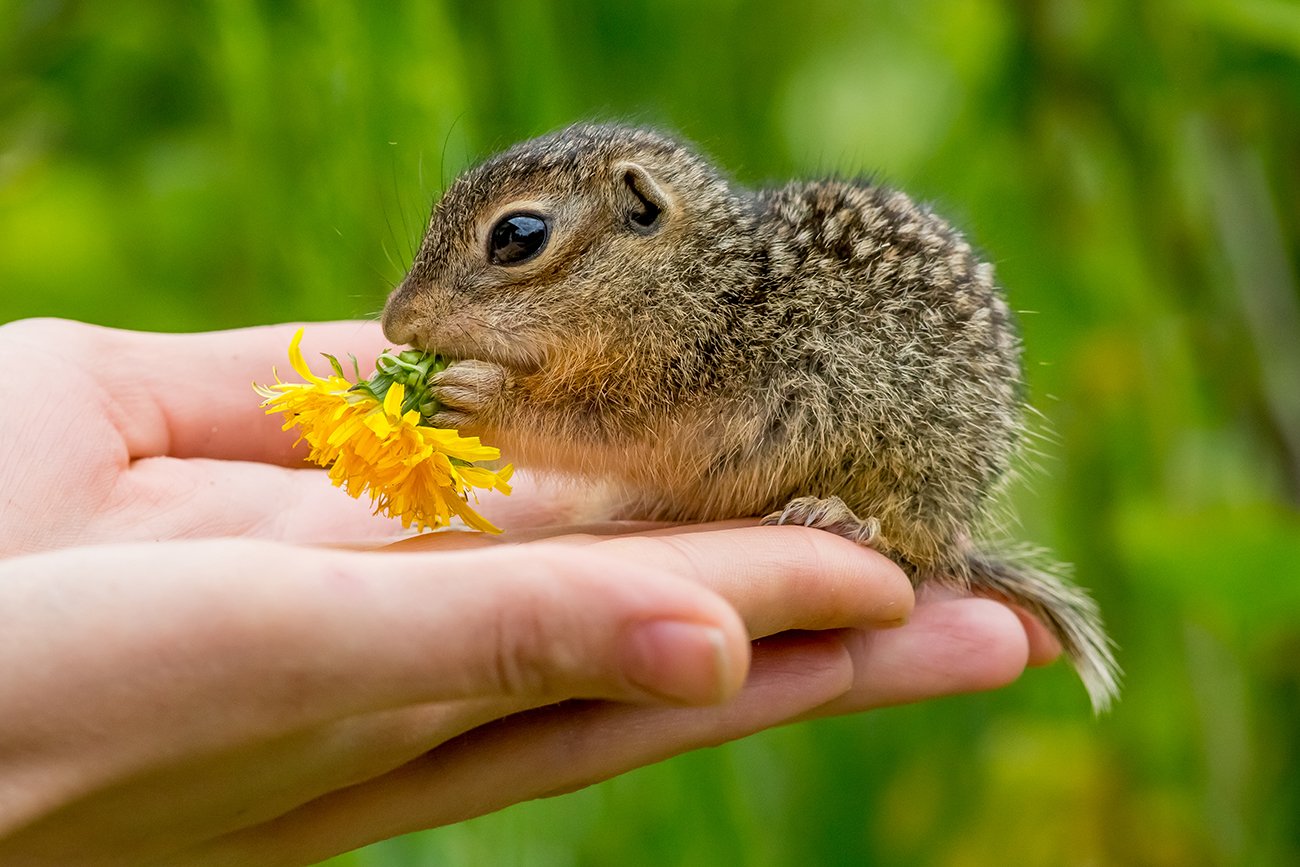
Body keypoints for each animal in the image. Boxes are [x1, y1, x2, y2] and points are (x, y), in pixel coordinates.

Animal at [379, 125, 1123, 717]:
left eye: (518, 236)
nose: (394, 321)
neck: (698, 282)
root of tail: (955, 535)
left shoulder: (667, 387)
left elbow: (580, 424)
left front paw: (474, 391)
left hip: (913, 476)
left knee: (908, 555)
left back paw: (841, 517)